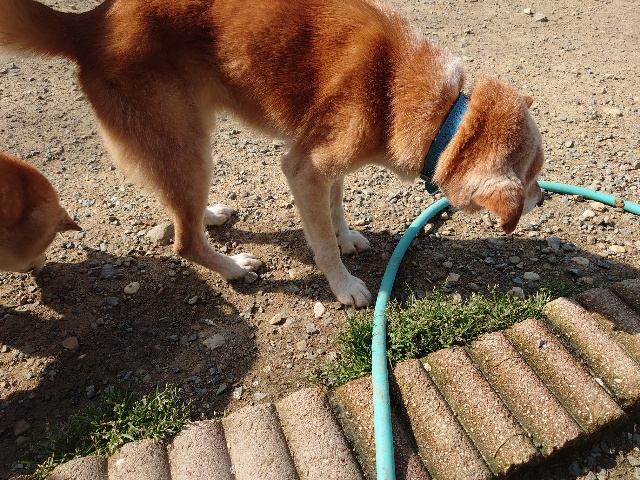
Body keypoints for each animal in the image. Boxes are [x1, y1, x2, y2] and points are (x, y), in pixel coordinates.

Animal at [0, 0, 544, 306]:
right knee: (184, 242)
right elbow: (320, 242)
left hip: (179, 145)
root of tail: (87, 25)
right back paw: (234, 267)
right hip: (189, 145)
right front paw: (344, 286)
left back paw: (211, 216)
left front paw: (347, 236)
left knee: (179, 211)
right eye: (534, 175)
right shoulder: (303, 167)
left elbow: (335, 208)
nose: (543, 197)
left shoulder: (327, 164)